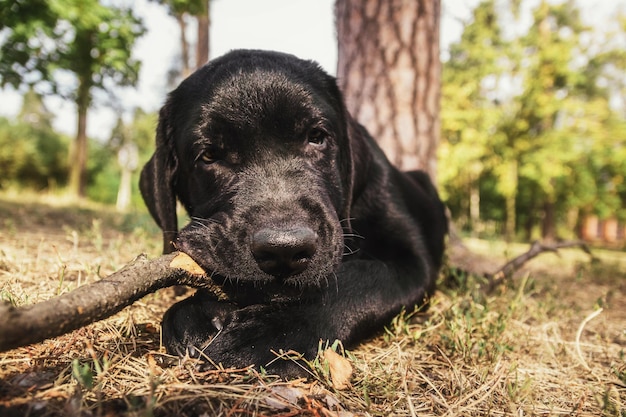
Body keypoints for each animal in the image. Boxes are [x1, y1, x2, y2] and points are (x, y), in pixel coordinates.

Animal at [139, 49, 446, 376]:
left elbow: (357, 279)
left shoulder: (411, 261)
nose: (283, 250)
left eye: (316, 136)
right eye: (209, 155)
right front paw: (198, 314)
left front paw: (268, 334)